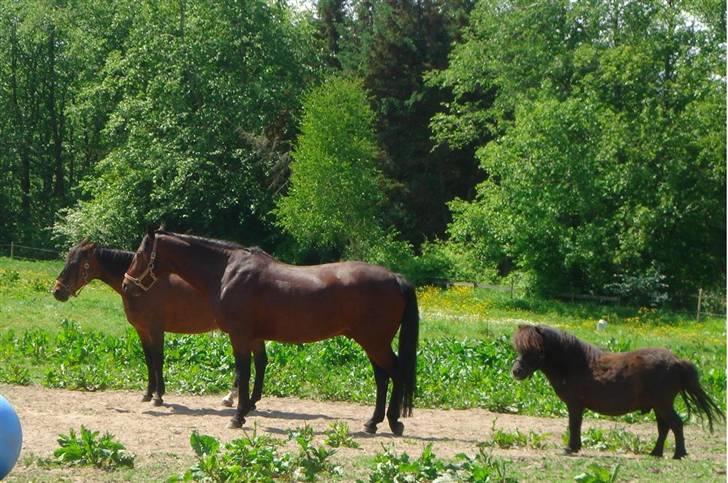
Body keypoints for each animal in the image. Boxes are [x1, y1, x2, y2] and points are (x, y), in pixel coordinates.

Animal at [52, 242, 268, 408]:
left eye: (77, 264)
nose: (57, 291)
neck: (141, 286)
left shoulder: (156, 330)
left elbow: (158, 360)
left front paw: (158, 396)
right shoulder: (142, 331)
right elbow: (148, 360)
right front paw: (148, 393)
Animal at [122, 229, 418, 432]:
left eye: (140, 254)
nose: (127, 284)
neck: (227, 271)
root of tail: (395, 278)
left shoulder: (240, 336)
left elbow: (243, 372)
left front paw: (238, 416)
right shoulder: (253, 337)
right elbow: (255, 368)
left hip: (375, 342)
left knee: (395, 373)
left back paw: (392, 422)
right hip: (372, 343)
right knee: (383, 377)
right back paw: (373, 422)